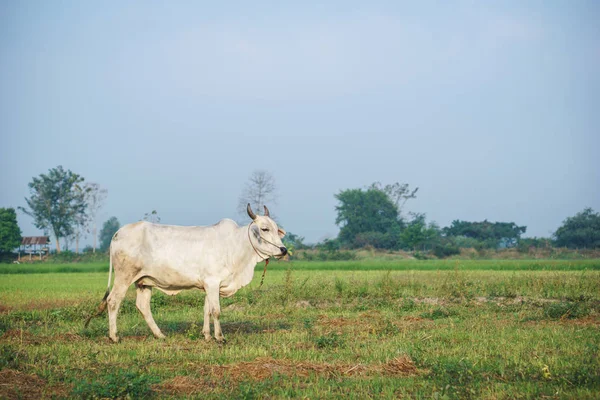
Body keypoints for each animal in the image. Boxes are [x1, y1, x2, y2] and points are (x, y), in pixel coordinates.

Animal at [85, 205, 288, 342]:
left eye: (276, 229)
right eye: (264, 229)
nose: (283, 250)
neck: (236, 246)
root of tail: (118, 233)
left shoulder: (209, 285)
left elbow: (206, 310)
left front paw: (207, 335)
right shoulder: (212, 282)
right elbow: (216, 311)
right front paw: (219, 337)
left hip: (143, 282)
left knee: (143, 306)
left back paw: (160, 335)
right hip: (124, 277)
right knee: (113, 301)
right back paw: (114, 337)